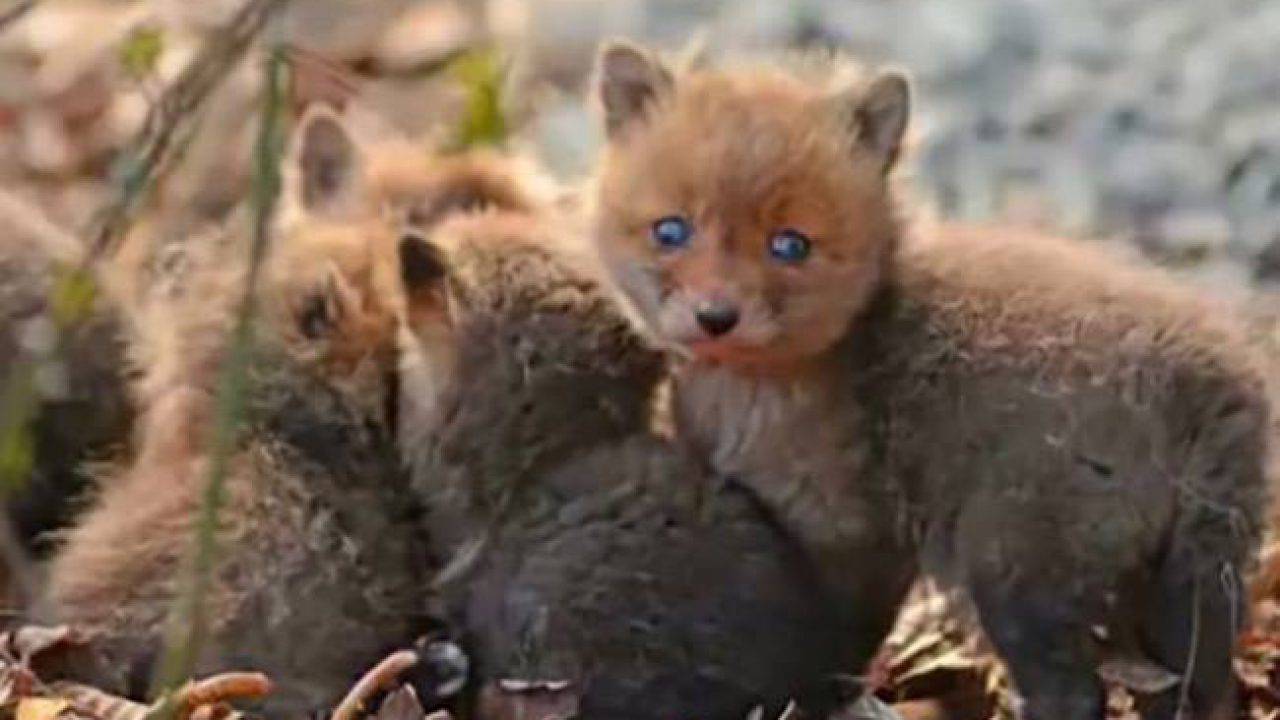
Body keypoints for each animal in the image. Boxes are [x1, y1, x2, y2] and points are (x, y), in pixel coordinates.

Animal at [586, 41, 1273, 720]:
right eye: (671, 231)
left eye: (790, 245)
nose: (716, 316)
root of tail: (1210, 382)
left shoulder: (853, 533)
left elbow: (836, 640)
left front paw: (811, 700)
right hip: (1190, 578)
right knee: (1201, 686)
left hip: (1017, 563)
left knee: (1075, 693)